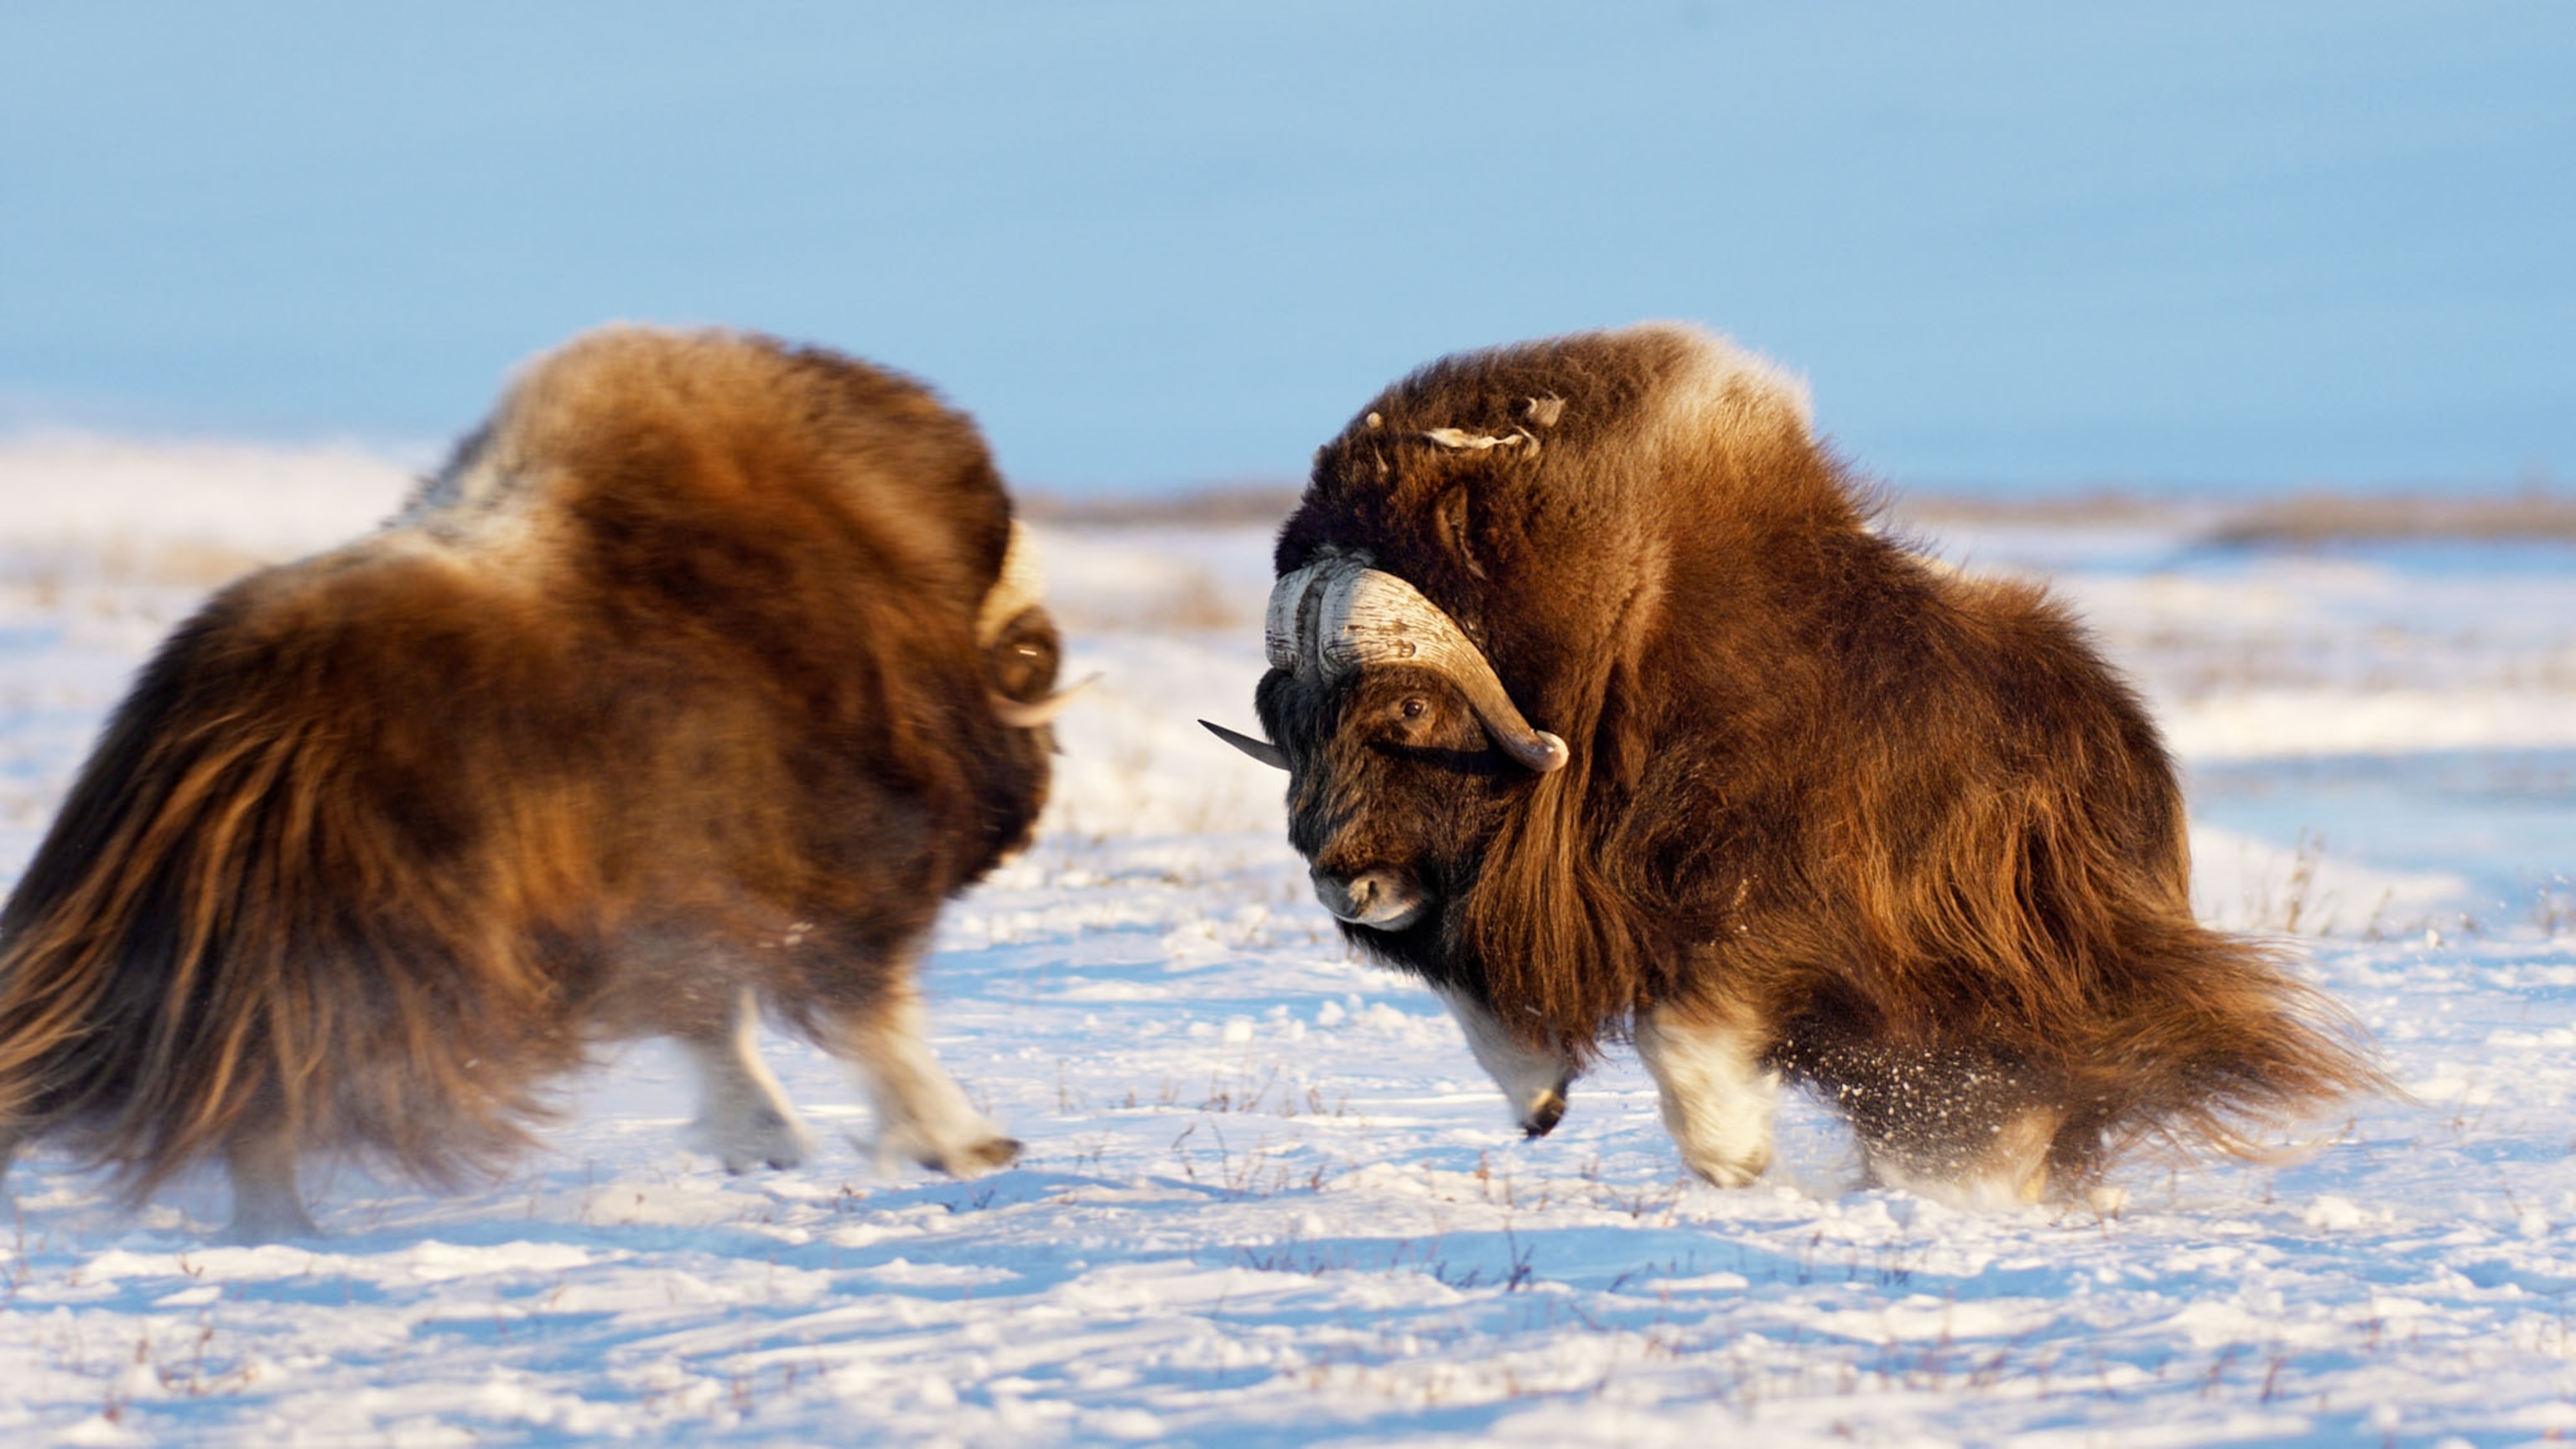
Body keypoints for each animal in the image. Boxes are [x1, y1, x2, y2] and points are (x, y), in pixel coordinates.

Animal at [0, 326, 1073, 1241]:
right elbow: (865, 1015)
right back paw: (287, 1230)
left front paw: (763, 1144)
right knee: (272, 1096)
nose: (1021, 824)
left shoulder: (677, 905)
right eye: (1032, 655)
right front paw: (964, 1143)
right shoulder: (817, 874)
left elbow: (715, 1020)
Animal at [1205, 323, 2381, 1205]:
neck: (1612, 647)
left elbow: (1690, 1015)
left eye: (1407, 705)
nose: (1343, 885)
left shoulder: (1768, 904)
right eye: (1282, 715)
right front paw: (1539, 1096)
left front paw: (1735, 1158)